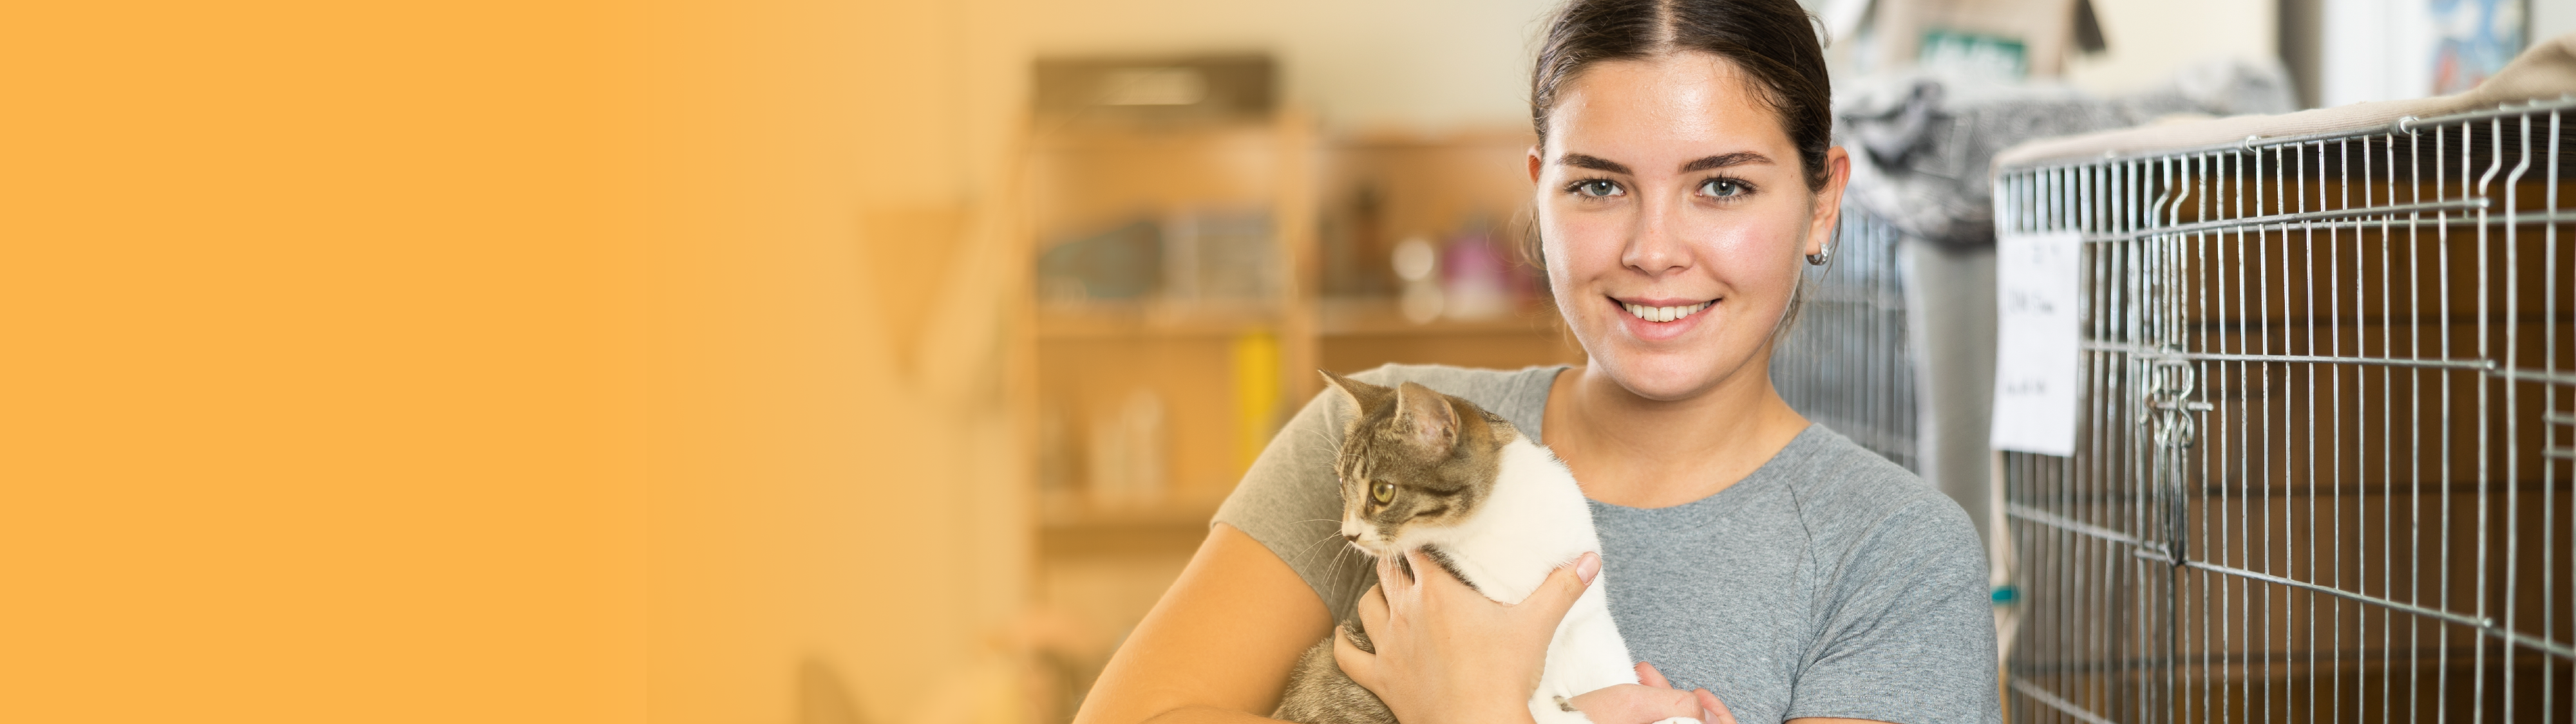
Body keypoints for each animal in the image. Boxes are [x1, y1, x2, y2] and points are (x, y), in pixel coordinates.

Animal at [1273, 371, 1690, 721]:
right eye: (1342, 486)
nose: (1349, 534)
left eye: (1382, 491)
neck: (1499, 520)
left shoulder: (1586, 614)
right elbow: (1544, 699)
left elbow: (1612, 666)